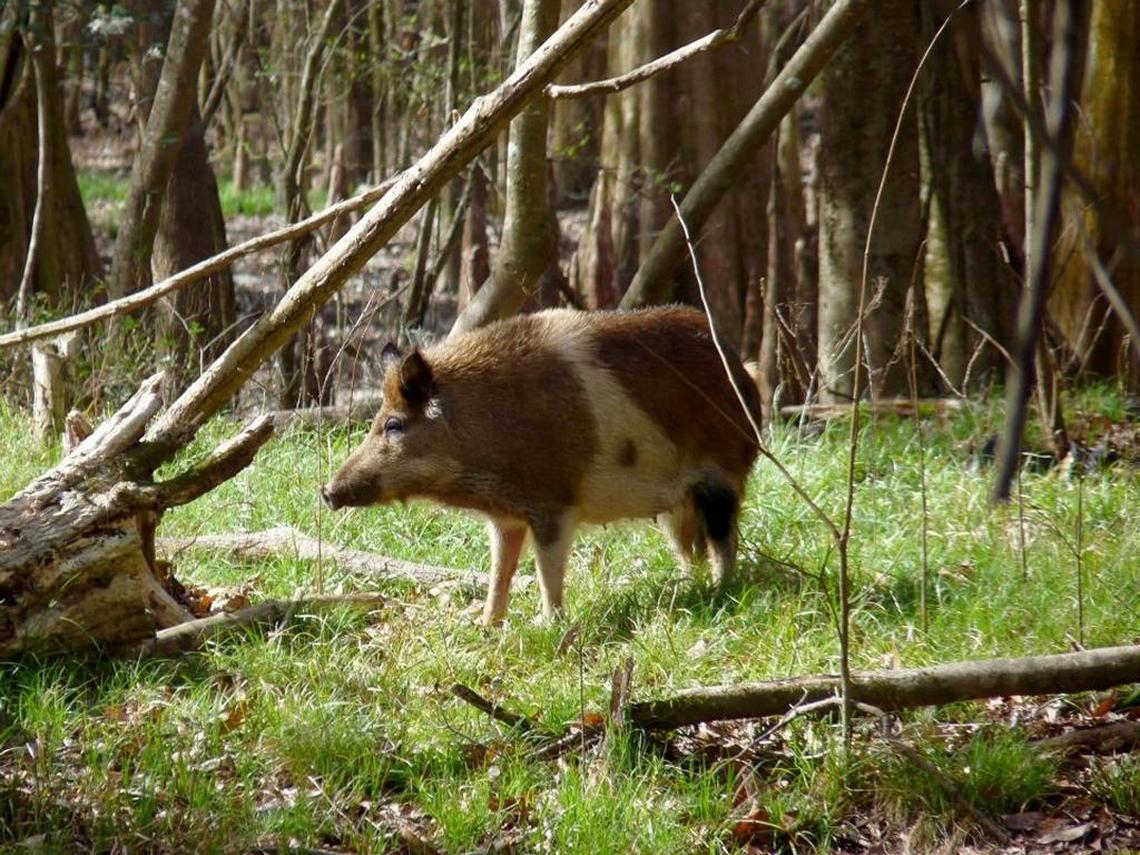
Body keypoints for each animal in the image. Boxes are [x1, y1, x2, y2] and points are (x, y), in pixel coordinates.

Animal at [321, 306, 761, 625]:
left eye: (394, 424)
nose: (326, 491)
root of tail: (746, 373)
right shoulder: (505, 517)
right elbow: (500, 571)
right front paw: (486, 627)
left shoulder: (554, 505)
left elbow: (548, 571)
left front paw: (547, 626)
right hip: (677, 505)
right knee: (691, 549)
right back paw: (686, 591)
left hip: (722, 478)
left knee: (724, 542)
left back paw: (719, 596)